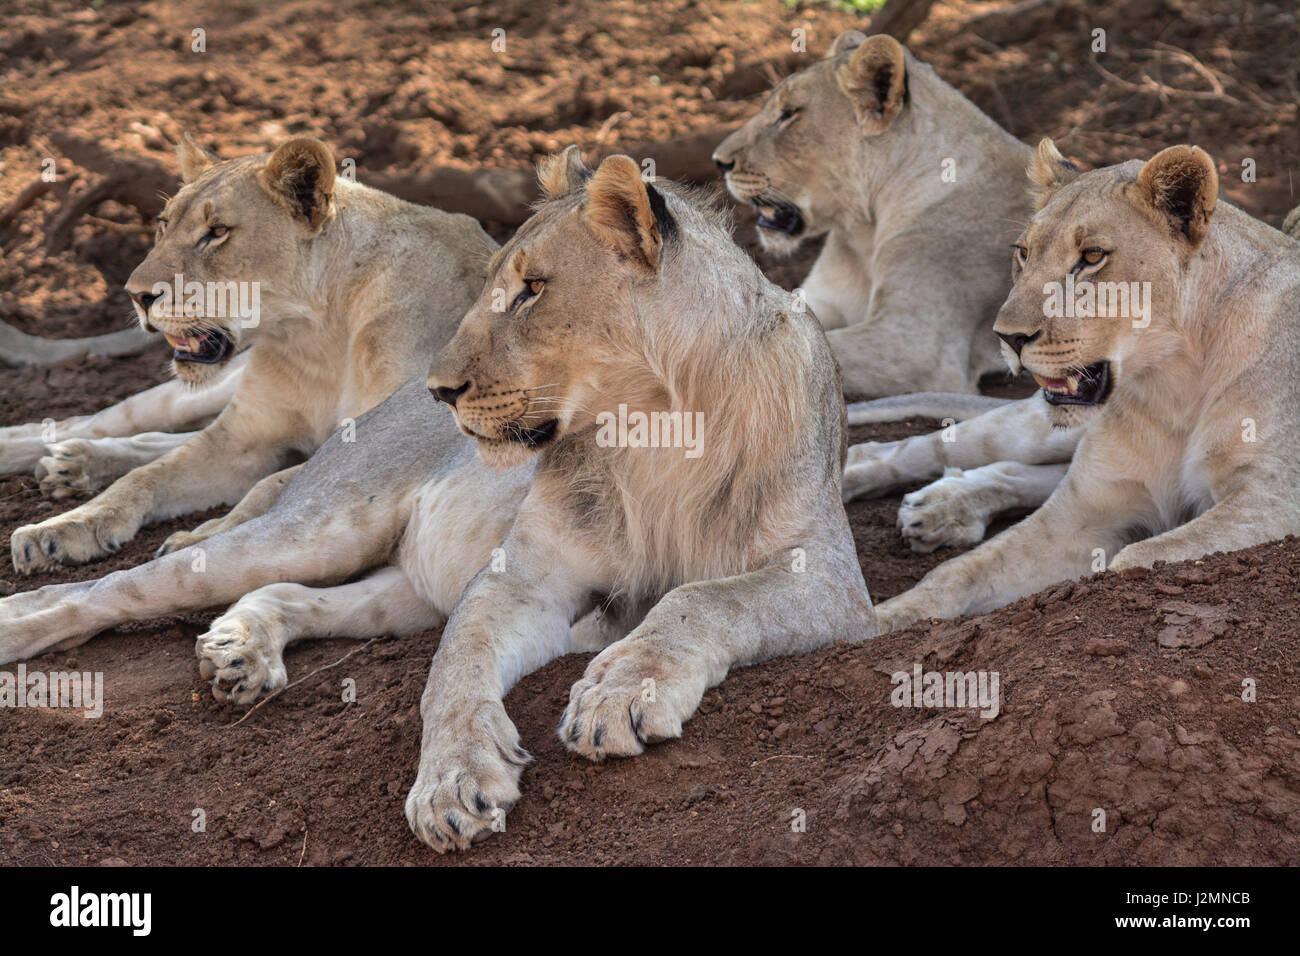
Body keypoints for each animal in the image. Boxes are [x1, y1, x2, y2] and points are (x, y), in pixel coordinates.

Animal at [3, 132, 491, 572]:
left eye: (217, 232)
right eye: (163, 224)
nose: (136, 295)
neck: (315, 334)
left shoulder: (379, 439)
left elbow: (268, 486)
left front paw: (196, 539)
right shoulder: (241, 438)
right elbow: (148, 475)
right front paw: (60, 529)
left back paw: (72, 463)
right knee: (114, 420)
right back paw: (57, 456)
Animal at [863, 140, 1300, 634]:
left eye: (1091, 257)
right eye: (1024, 252)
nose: (1008, 337)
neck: (1173, 384)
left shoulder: (1273, 501)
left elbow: (1134, 558)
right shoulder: (1086, 507)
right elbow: (960, 571)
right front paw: (877, 624)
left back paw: (944, 507)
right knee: (911, 448)